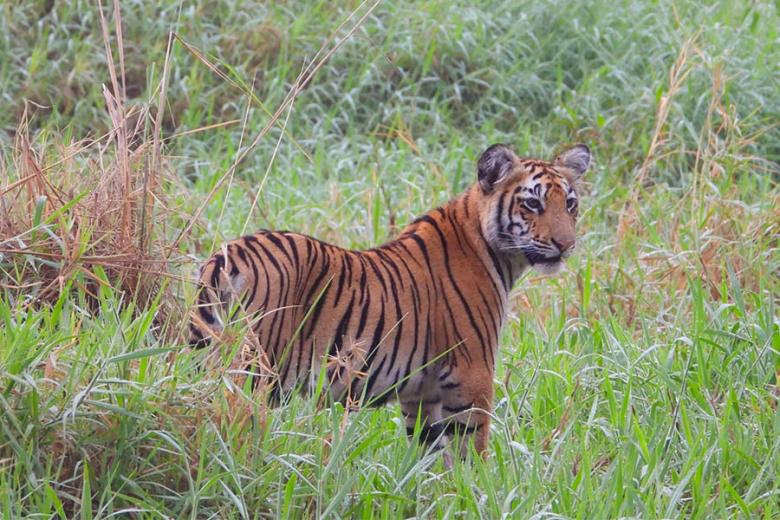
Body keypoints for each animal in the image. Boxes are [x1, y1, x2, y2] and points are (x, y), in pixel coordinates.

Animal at [189, 142, 591, 460]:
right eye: (532, 203)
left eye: (570, 204)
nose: (566, 244)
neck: (495, 252)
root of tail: (224, 257)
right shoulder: (472, 377)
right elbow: (471, 457)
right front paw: (476, 497)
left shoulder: (421, 396)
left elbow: (430, 463)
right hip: (250, 372)